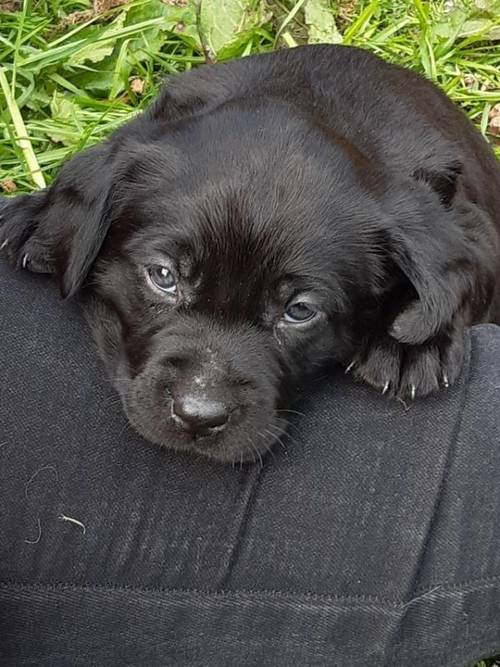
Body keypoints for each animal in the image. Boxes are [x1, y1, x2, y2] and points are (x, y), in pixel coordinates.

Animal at [2, 45, 500, 464]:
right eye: (163, 276)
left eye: (299, 311)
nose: (199, 416)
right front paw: (39, 220)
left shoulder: (473, 225)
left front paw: (409, 342)